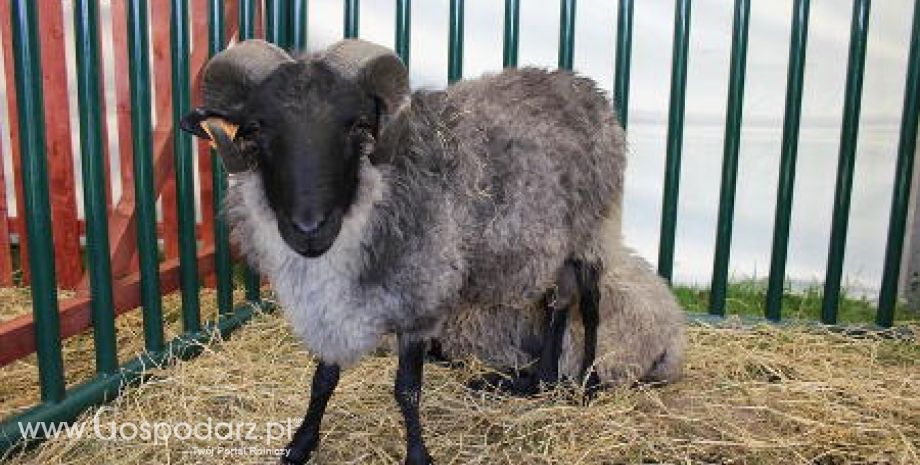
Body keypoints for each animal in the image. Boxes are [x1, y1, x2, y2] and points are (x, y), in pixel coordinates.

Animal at [180, 37, 624, 464]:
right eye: (256, 128)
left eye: (357, 125)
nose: (309, 229)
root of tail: (584, 85)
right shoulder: (333, 305)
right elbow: (323, 380)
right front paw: (301, 444)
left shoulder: (419, 300)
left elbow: (407, 388)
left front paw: (417, 454)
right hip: (553, 243)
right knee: (557, 300)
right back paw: (538, 381)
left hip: (592, 230)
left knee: (590, 304)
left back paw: (587, 384)